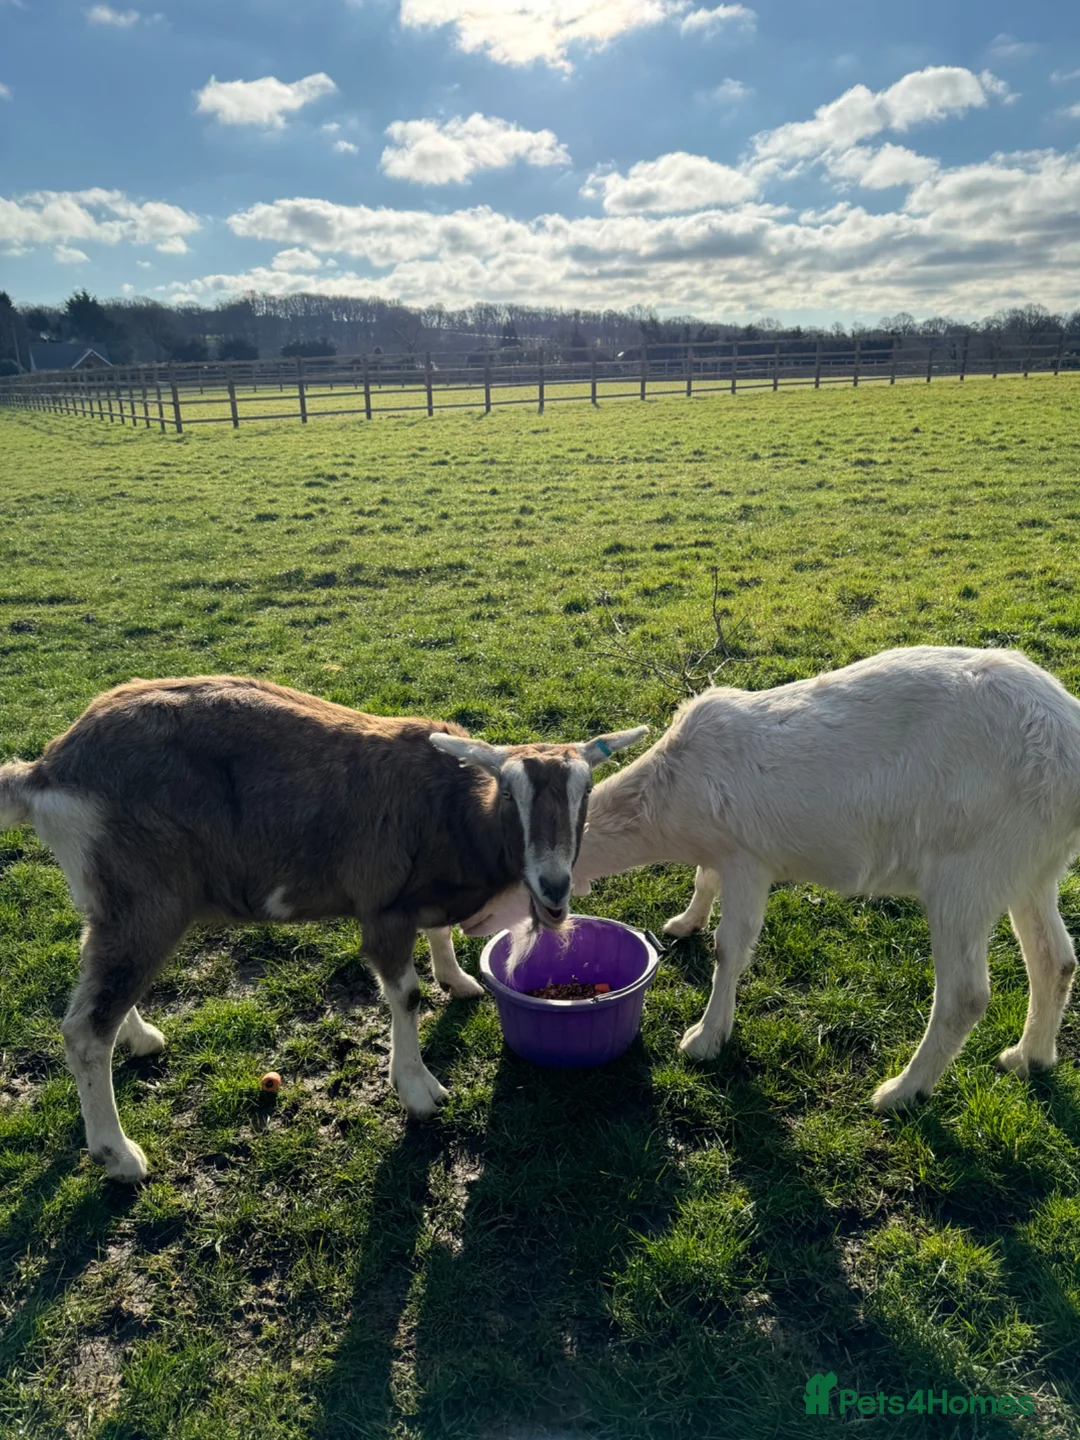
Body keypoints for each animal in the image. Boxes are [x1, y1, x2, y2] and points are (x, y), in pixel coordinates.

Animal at [0, 675, 646, 1182]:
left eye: (584, 791)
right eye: (510, 793)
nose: (555, 889)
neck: (451, 808)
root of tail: (46, 769)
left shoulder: (421, 895)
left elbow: (439, 936)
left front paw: (457, 980)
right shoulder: (382, 906)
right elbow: (406, 996)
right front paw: (418, 1090)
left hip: (114, 902)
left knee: (100, 980)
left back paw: (139, 1038)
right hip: (145, 898)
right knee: (85, 1028)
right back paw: (119, 1155)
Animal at [573, 646, 1080, 1110]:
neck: (672, 799)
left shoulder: (748, 858)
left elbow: (729, 947)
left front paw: (704, 1039)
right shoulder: (719, 852)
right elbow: (703, 882)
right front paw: (683, 923)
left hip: (969, 868)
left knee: (966, 994)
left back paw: (900, 1092)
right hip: (1032, 864)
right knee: (1055, 960)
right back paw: (1027, 1058)